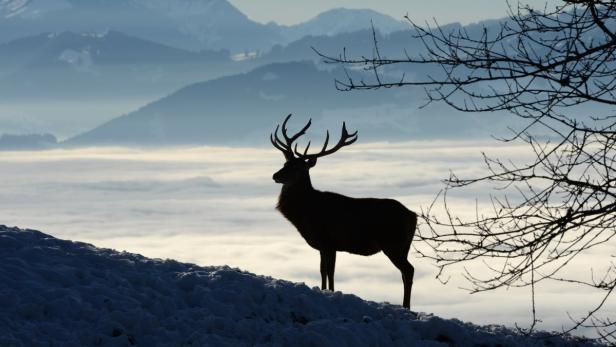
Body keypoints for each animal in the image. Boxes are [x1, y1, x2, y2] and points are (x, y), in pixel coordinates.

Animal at [270, 114, 418, 310]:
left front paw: (330, 292)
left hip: (393, 242)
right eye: (285, 163)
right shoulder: (324, 246)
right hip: (403, 245)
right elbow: (323, 270)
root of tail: (413, 215)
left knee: (409, 270)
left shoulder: (328, 241)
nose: (275, 175)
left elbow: (329, 271)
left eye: (298, 168)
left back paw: (406, 307)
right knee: (406, 271)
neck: (306, 212)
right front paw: (325, 290)